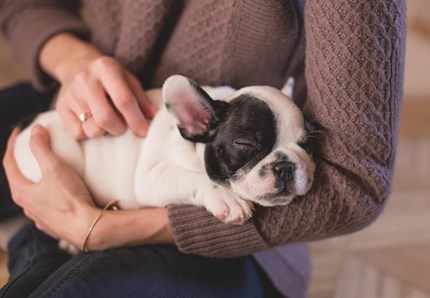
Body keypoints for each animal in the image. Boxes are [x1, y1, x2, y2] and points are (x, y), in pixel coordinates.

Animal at [14, 75, 316, 226]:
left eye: (306, 144)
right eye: (246, 145)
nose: (285, 165)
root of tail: (27, 123)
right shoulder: (151, 176)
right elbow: (194, 177)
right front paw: (227, 198)